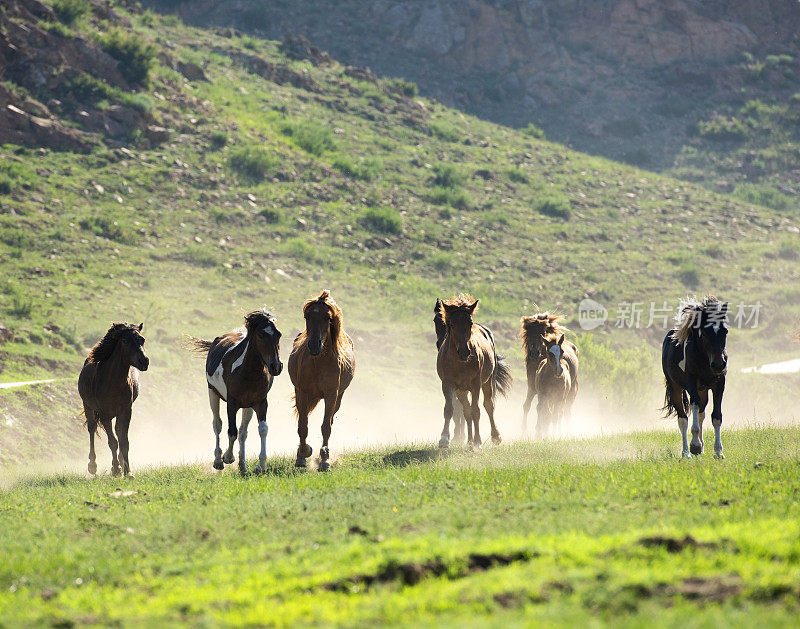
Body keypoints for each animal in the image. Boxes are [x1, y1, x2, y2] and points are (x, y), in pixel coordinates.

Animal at [78, 322, 150, 474]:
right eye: (125, 340)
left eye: (142, 339)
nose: (144, 361)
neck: (113, 382)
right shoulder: (104, 414)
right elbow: (112, 442)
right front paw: (116, 469)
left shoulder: (126, 411)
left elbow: (124, 441)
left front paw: (127, 471)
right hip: (89, 407)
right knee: (92, 429)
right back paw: (93, 466)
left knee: (117, 431)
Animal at [188, 306, 284, 474]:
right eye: (260, 335)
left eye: (278, 334)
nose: (276, 367)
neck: (246, 372)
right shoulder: (231, 404)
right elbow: (230, 431)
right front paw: (227, 457)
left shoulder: (260, 403)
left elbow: (262, 429)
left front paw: (261, 465)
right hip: (212, 394)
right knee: (217, 425)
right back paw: (218, 460)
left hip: (248, 407)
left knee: (243, 432)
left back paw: (243, 466)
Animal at [286, 290, 352, 472]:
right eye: (307, 316)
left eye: (328, 317)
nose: (314, 345)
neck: (318, 362)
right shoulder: (302, 392)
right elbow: (302, 426)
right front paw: (302, 455)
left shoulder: (331, 395)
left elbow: (326, 427)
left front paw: (324, 460)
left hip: (338, 398)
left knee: (330, 421)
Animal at [438, 294, 512, 446]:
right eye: (452, 324)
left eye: (470, 323)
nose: (464, 352)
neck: (459, 363)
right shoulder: (447, 384)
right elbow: (449, 410)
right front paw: (444, 439)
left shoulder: (475, 385)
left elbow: (476, 411)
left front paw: (478, 442)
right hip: (461, 390)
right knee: (466, 411)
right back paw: (469, 441)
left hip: (487, 383)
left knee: (489, 406)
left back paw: (495, 437)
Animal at [660, 294, 728, 456]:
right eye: (705, 333)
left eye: (725, 331)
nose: (718, 364)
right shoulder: (691, 383)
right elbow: (693, 410)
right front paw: (695, 445)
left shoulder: (719, 384)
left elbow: (716, 416)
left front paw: (718, 451)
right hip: (676, 388)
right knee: (682, 419)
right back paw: (686, 452)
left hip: (702, 390)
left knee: (701, 414)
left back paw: (701, 448)